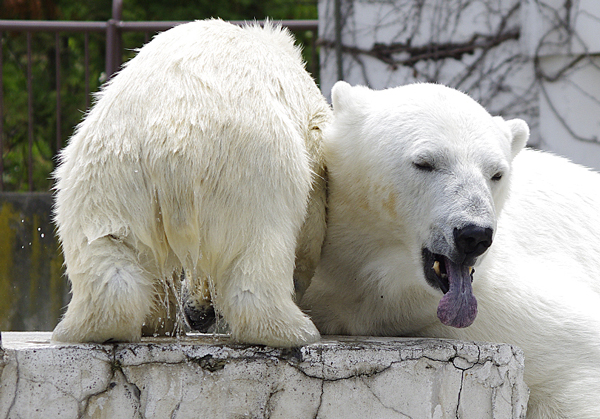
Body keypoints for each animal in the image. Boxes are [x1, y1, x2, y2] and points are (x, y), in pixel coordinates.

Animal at [52, 19, 332, 348]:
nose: (198, 314)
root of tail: (170, 142)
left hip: (107, 173)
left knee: (107, 247)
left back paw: (97, 326)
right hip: (247, 170)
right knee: (259, 244)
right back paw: (293, 330)